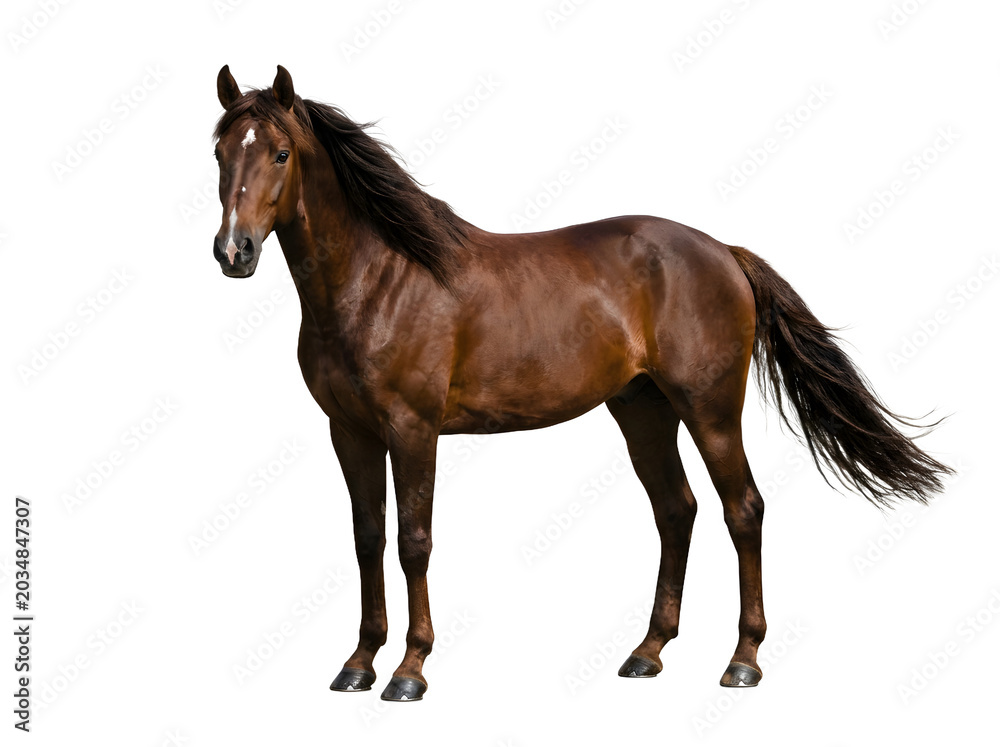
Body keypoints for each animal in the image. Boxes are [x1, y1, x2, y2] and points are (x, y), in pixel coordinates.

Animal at [211, 65, 951, 701]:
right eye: (219, 152)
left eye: (281, 153)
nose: (233, 251)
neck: (380, 279)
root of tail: (723, 252)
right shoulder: (350, 431)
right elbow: (367, 539)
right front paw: (359, 663)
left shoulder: (413, 429)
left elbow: (413, 541)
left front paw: (410, 670)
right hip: (643, 409)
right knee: (676, 510)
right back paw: (648, 652)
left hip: (710, 410)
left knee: (743, 509)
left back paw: (742, 660)